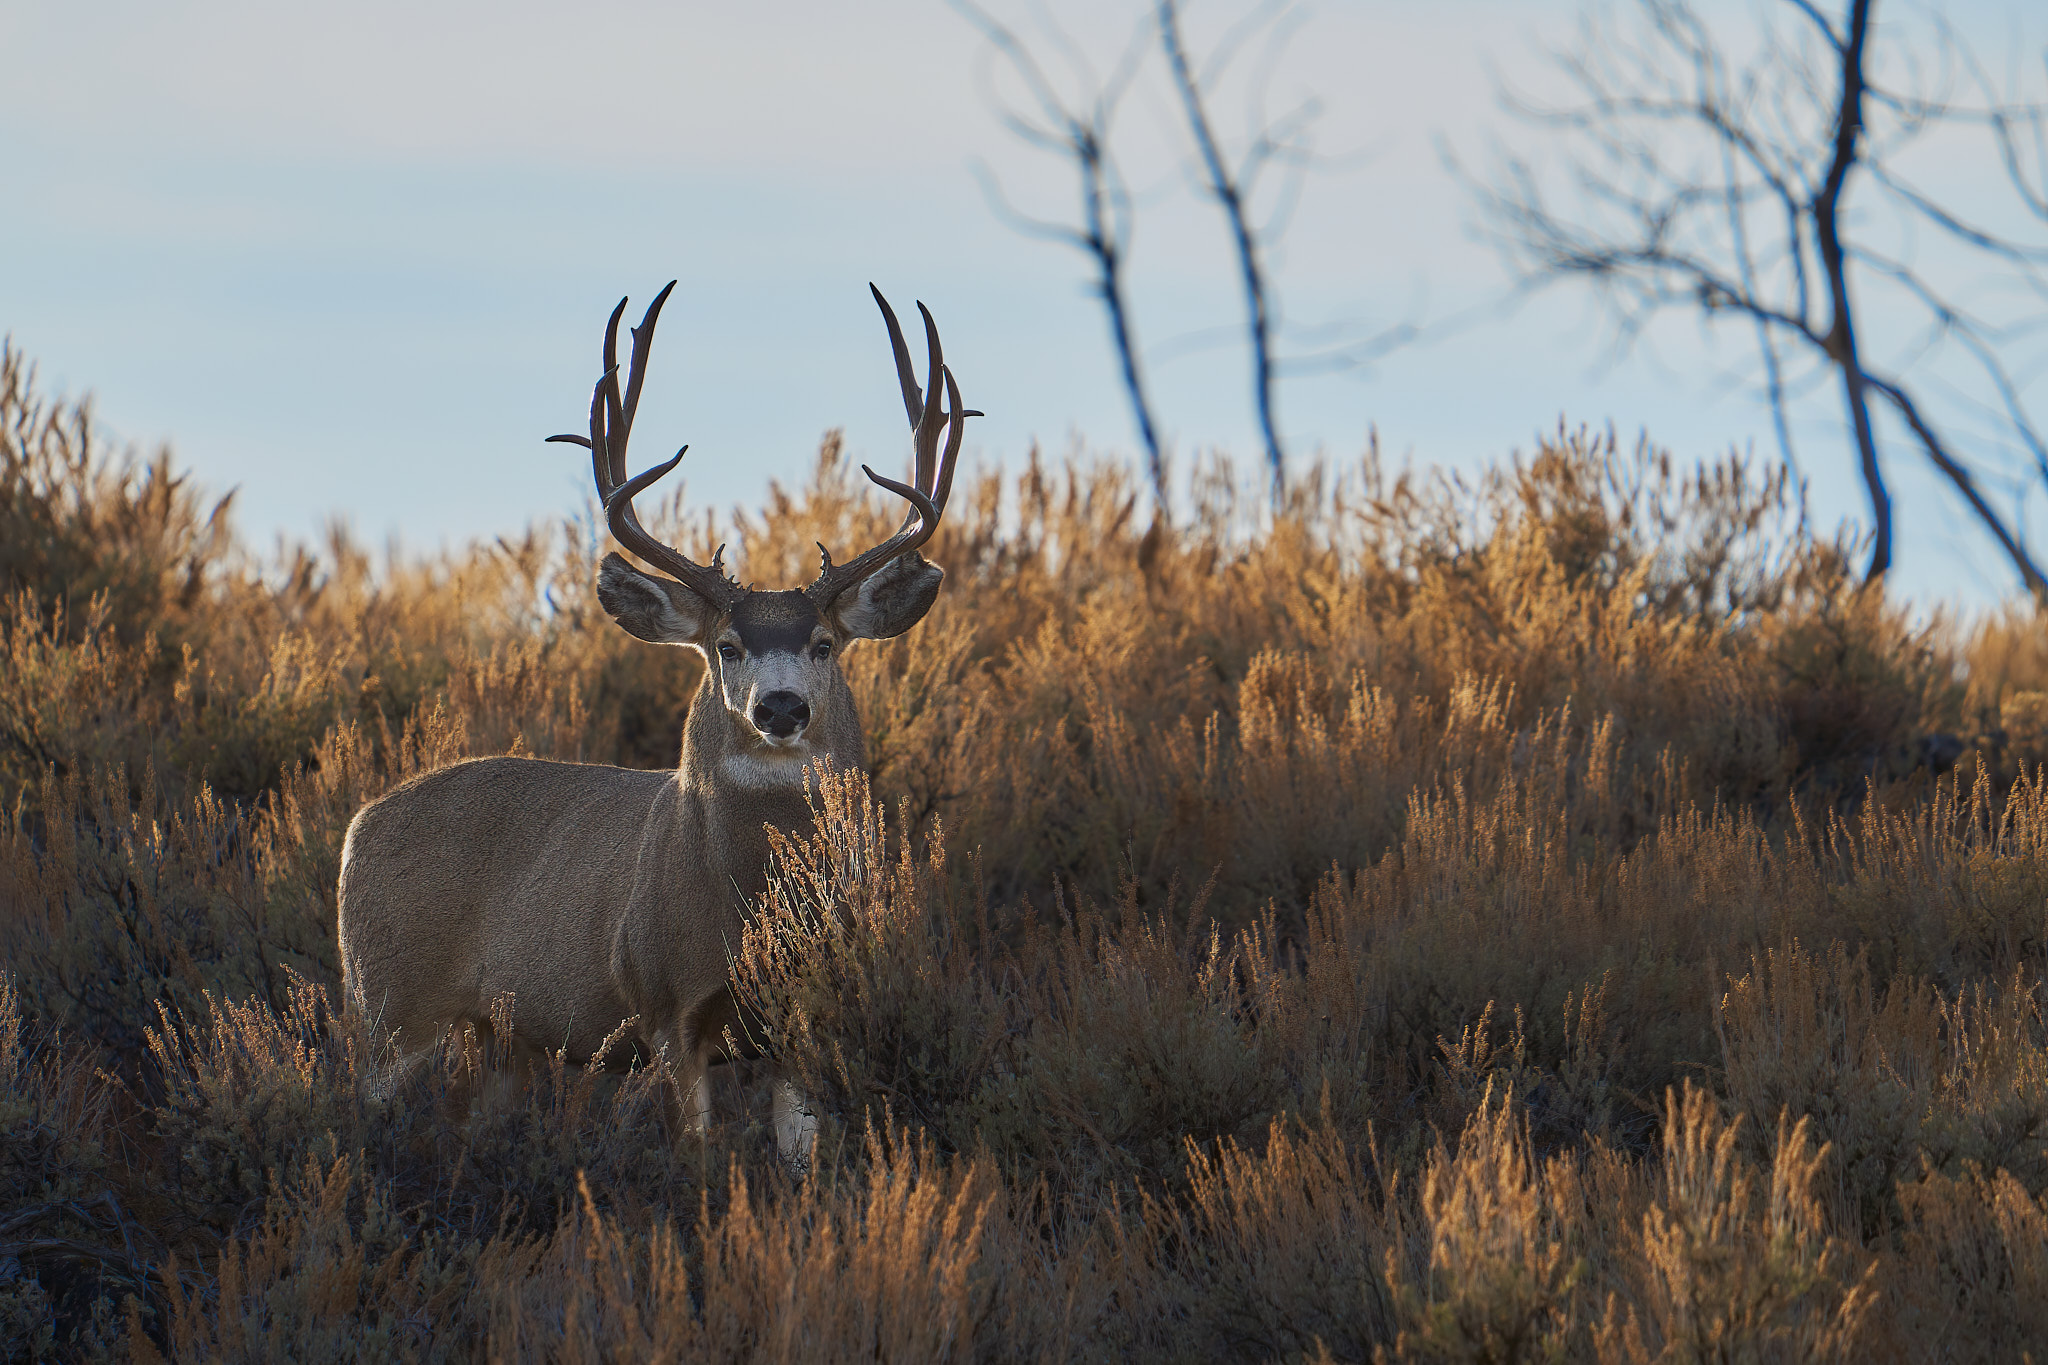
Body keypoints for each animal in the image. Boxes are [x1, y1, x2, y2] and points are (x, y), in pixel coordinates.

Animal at [335, 281, 974, 1170]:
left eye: (822, 643)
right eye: (727, 646)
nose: (781, 707)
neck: (744, 907)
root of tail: (357, 824)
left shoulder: (807, 1013)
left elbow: (801, 1159)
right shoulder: (665, 1001)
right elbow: (698, 1158)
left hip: (498, 1034)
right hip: (391, 1002)